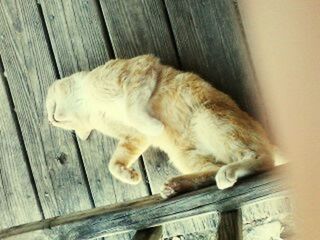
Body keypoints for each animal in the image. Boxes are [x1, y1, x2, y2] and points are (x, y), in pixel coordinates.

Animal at [45, 54, 280, 199]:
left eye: (52, 114)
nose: (51, 119)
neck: (92, 107)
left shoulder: (141, 70)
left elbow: (133, 110)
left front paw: (156, 126)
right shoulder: (134, 137)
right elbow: (114, 162)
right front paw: (129, 175)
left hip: (206, 117)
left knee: (262, 158)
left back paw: (231, 171)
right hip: (182, 155)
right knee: (212, 168)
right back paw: (176, 185)